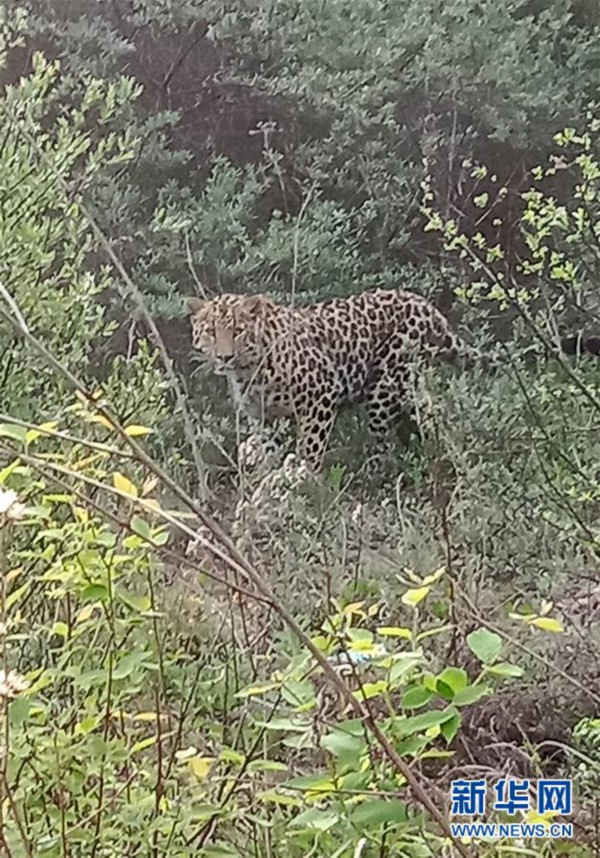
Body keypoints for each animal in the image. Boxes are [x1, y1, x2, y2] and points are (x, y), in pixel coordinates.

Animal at [185, 290, 476, 472]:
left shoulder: (320, 394)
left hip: (384, 388)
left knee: (387, 441)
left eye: (237, 331)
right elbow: (271, 452)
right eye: (210, 332)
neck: (246, 373)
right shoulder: (263, 417)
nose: (224, 357)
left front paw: (305, 482)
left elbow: (310, 448)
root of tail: (428, 308)